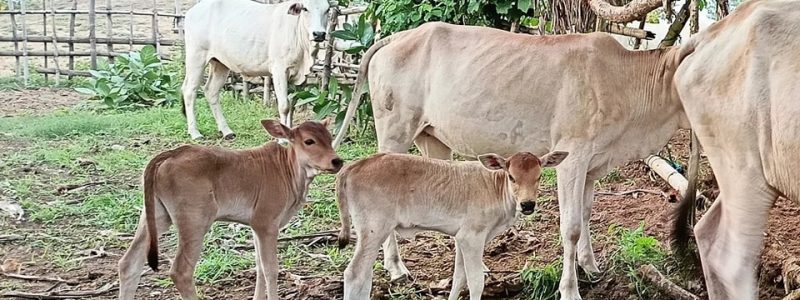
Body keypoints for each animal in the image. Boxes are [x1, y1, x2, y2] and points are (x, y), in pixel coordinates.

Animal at [117, 119, 342, 300]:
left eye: (330, 138)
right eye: (309, 141)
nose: (337, 161)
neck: (289, 170)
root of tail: (169, 154)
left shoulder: (256, 227)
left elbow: (259, 266)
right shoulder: (266, 223)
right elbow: (271, 269)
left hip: (156, 215)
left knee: (129, 263)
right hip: (194, 221)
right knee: (181, 271)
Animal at [182, 0, 332, 139]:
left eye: (327, 9)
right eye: (305, 8)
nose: (319, 34)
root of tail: (192, 11)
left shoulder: (300, 77)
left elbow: (292, 106)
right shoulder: (279, 70)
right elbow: (284, 106)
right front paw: (283, 140)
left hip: (220, 63)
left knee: (211, 91)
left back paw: (226, 131)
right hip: (196, 57)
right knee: (189, 91)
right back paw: (195, 132)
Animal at [338, 151, 568, 300]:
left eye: (539, 176)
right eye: (511, 177)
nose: (528, 204)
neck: (495, 187)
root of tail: (354, 166)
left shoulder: (461, 237)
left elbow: (459, 277)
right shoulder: (472, 237)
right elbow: (475, 280)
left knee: (365, 277)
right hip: (374, 230)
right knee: (354, 275)